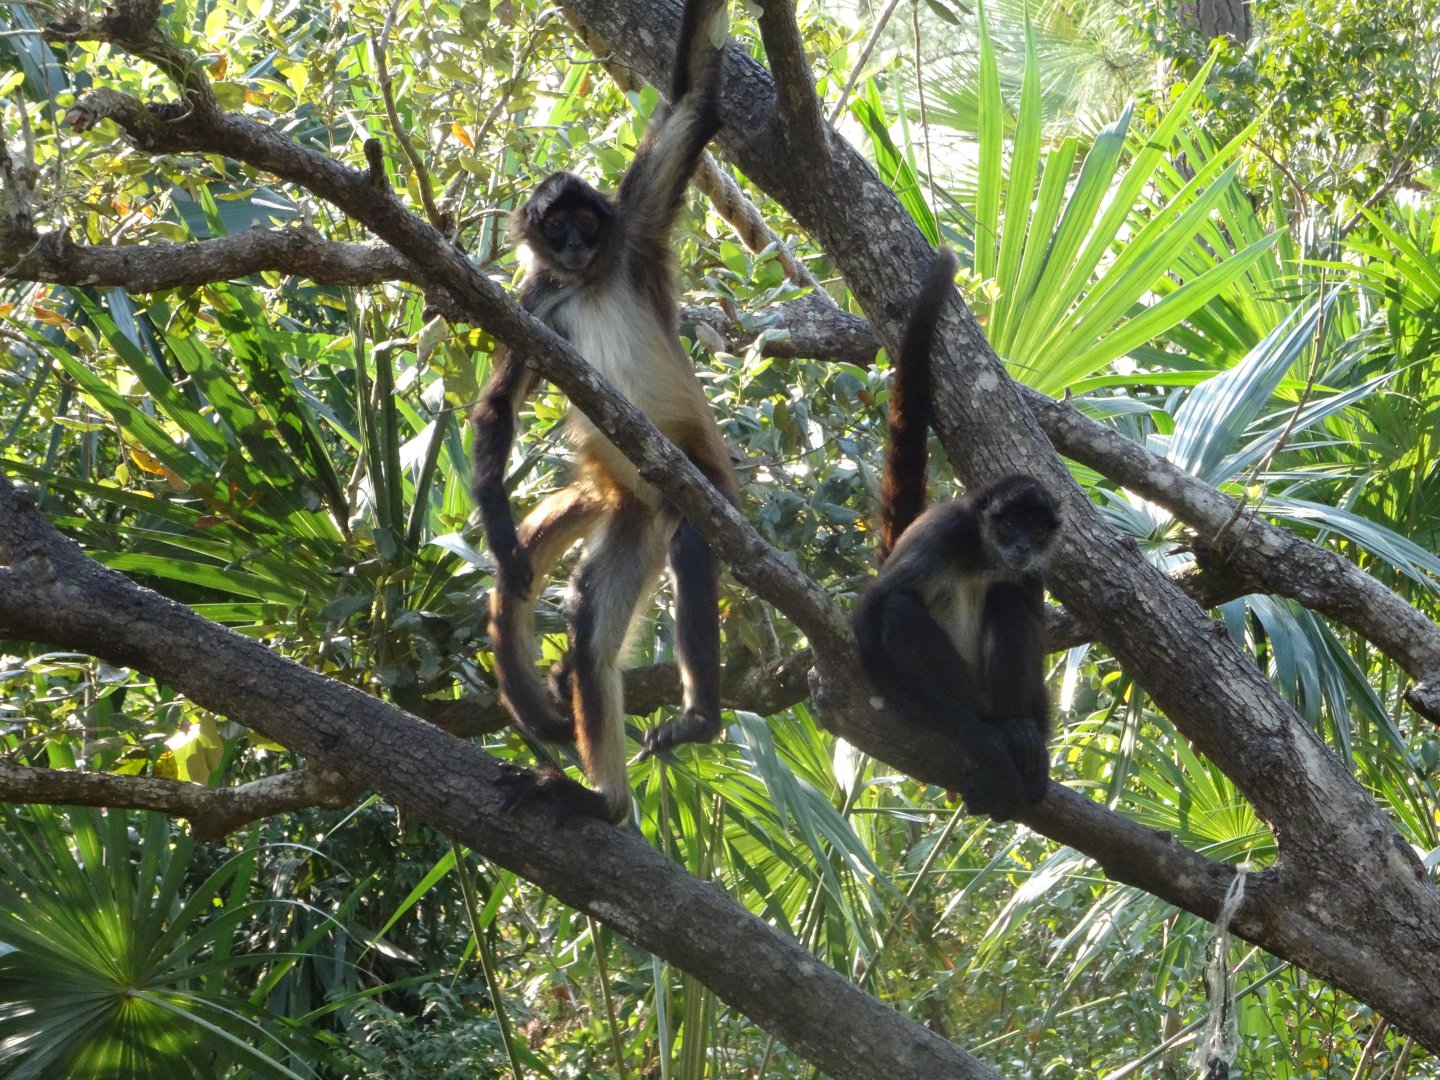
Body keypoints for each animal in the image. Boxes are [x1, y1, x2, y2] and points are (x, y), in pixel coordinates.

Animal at [469, 0, 738, 825]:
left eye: (587, 221)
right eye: (556, 227)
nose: (576, 241)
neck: (586, 283)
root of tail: (630, 494)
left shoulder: (635, 235)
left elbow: (692, 100)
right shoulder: (537, 299)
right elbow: (497, 406)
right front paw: (501, 538)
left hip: (699, 484)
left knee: (692, 545)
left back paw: (698, 719)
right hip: (633, 523)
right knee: (589, 630)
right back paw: (604, 803)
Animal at [852, 248, 1062, 822]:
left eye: (1035, 529)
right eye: (1009, 523)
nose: (1019, 545)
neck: (980, 553)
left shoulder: (1033, 571)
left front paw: (1036, 748)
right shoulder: (942, 533)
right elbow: (867, 624)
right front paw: (985, 746)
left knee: (1008, 600)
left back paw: (1016, 729)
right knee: (898, 610)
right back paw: (992, 733)